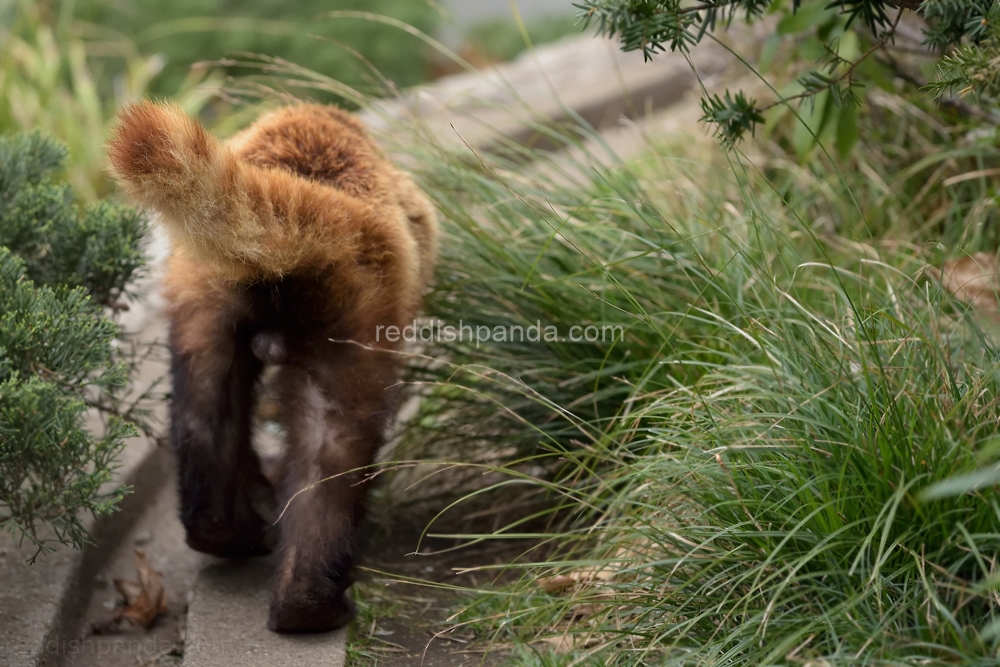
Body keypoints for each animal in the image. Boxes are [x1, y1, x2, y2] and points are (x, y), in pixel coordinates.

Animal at [105, 102, 438, 636]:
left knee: (204, 417)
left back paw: (231, 533)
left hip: (204, 297)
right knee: (332, 453)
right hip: (357, 317)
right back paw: (312, 604)